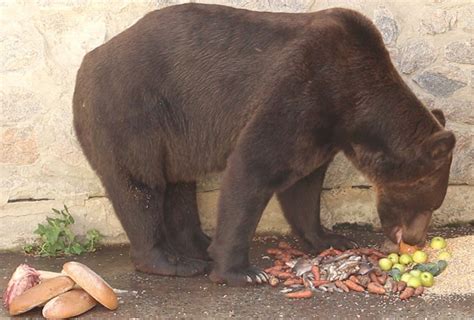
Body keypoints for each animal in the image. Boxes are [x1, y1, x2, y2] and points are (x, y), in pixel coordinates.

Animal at [73, 4, 456, 284]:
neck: (352, 105)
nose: (417, 239)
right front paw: (242, 271)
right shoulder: (301, 91)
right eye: (430, 203)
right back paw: (172, 261)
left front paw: (331, 238)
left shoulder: (322, 129)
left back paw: (198, 246)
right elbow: (253, 169)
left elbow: (304, 186)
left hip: (176, 133)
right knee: (139, 185)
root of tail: (88, 60)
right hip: (131, 109)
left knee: (179, 185)